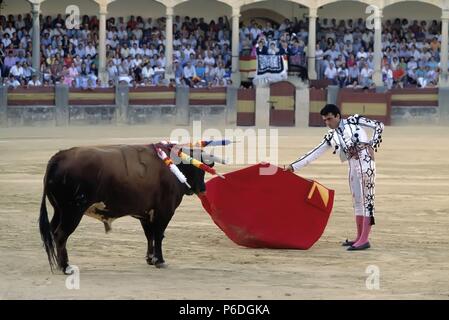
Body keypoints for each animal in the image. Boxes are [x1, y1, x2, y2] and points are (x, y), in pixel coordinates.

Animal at [39, 144, 213, 274]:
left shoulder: (146, 213)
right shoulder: (164, 212)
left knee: (53, 231)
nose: (203, 189)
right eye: (198, 168)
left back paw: (58, 264)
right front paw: (160, 261)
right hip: (72, 211)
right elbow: (159, 235)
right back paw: (65, 267)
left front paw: (151, 259)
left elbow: (150, 235)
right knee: (61, 234)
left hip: (59, 210)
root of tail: (60, 156)